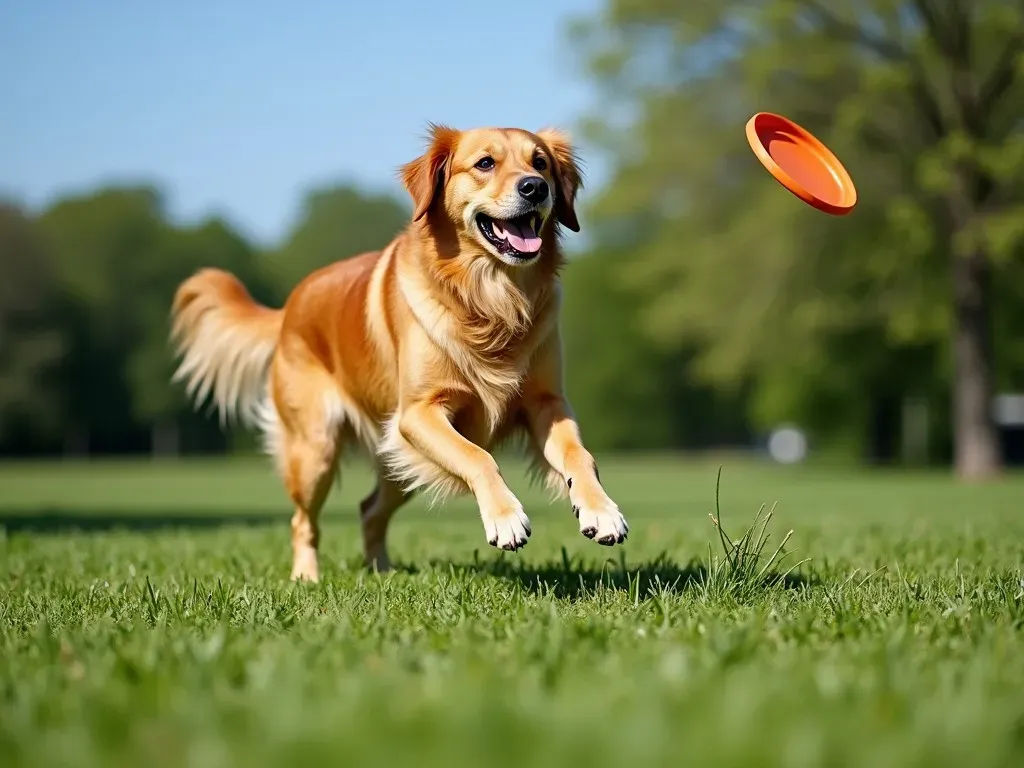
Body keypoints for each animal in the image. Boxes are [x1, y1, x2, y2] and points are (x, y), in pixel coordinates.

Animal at [169, 124, 622, 581]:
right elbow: (477, 456)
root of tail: (290, 304)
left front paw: (600, 510)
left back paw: (381, 572)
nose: (535, 187)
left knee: (369, 510)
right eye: (485, 163)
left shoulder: (548, 404)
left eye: (540, 163)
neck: (489, 297)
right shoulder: (418, 413)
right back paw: (307, 577)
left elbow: (580, 456)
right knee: (303, 521)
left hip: (397, 459)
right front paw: (506, 517)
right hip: (317, 450)